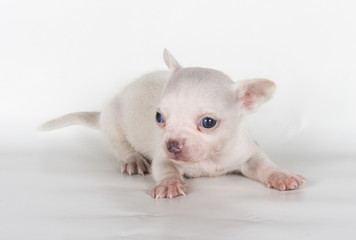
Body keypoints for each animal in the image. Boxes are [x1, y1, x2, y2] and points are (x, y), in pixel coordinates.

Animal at [41, 48, 304, 199]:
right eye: (159, 118)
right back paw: (133, 160)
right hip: (114, 122)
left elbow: (265, 164)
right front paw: (169, 184)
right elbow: (166, 169)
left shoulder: (247, 153)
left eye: (208, 122)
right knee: (122, 146)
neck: (211, 159)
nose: (172, 145)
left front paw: (282, 176)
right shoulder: (163, 158)